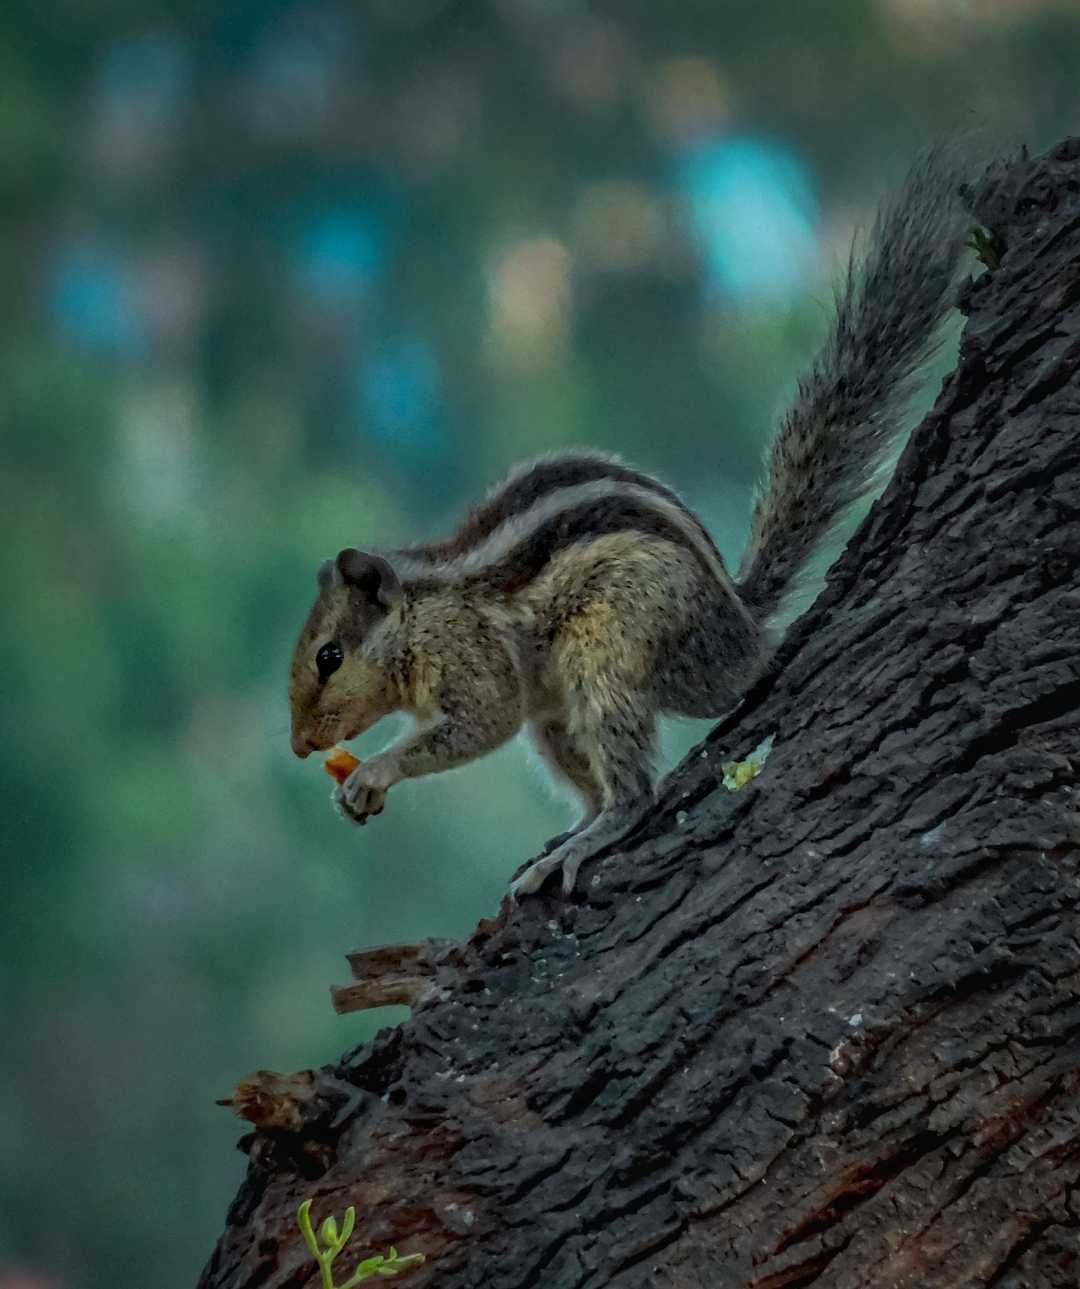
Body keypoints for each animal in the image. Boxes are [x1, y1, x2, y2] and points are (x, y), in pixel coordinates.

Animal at [288, 147, 971, 898]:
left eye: (329, 657)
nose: (301, 745)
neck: (424, 607)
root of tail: (740, 627)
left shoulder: (472, 659)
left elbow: (481, 723)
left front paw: (376, 770)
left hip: (613, 650)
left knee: (636, 791)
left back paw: (591, 839)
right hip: (559, 716)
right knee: (594, 786)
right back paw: (568, 836)